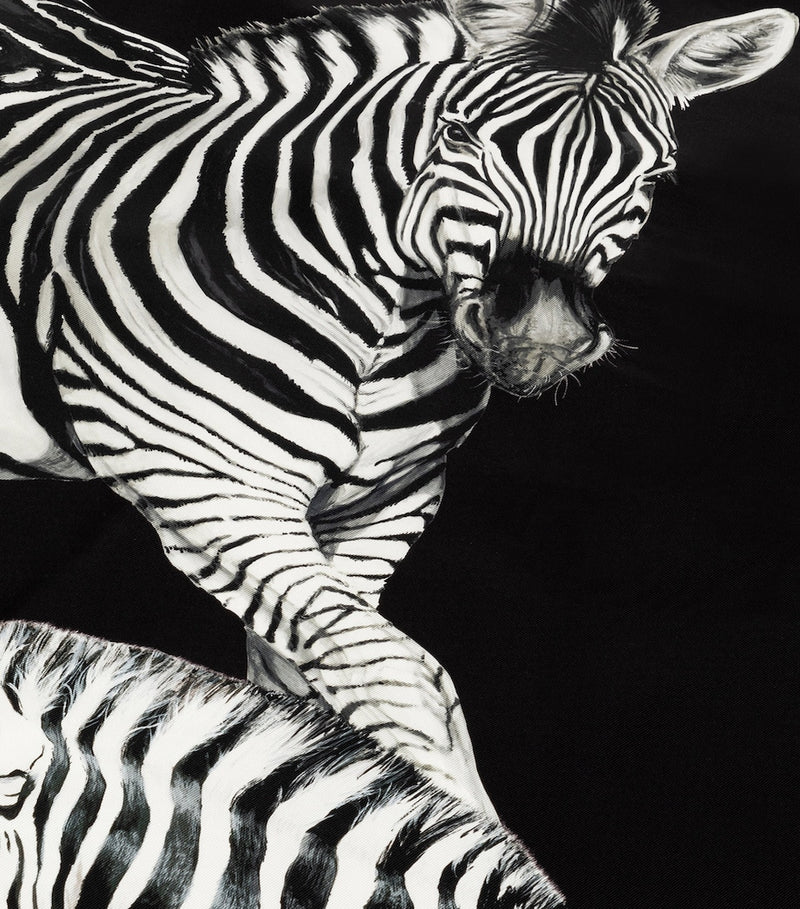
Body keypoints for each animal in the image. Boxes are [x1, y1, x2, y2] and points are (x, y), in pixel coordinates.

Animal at [0, 0, 795, 811]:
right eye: (461, 135)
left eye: (655, 173)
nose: (539, 338)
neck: (385, 327)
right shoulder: (216, 495)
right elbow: (402, 683)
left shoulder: (381, 509)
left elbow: (307, 700)